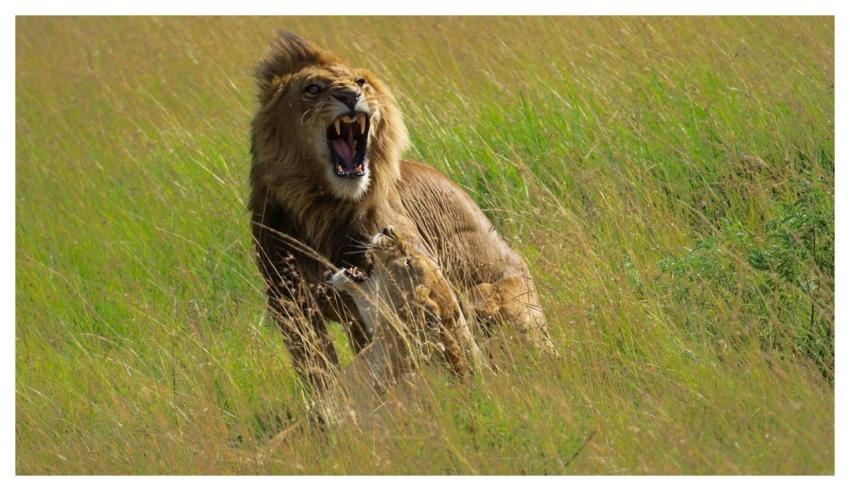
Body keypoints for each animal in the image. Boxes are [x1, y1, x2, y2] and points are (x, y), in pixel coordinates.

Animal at [249, 32, 557, 392]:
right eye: (312, 89)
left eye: (360, 82)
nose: (351, 95)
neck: (321, 209)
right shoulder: (289, 303)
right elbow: (316, 372)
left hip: (488, 296)